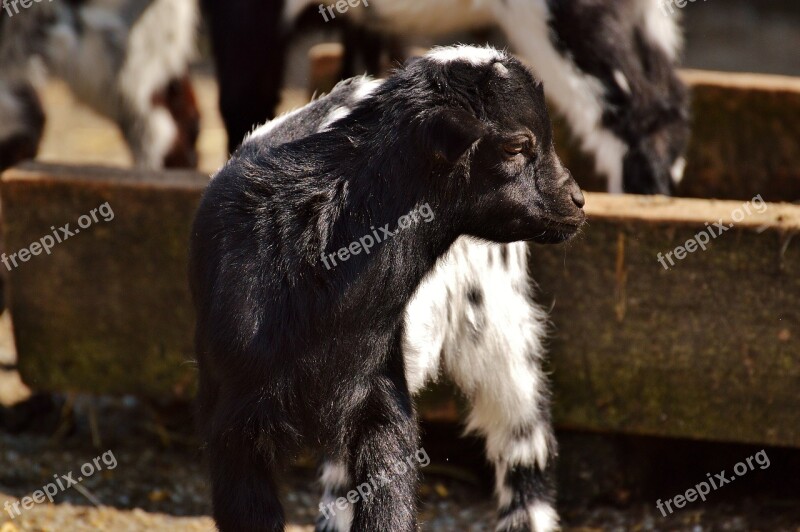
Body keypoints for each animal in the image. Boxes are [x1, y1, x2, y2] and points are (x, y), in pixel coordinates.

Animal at [191, 46, 584, 532]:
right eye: (516, 145)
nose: (578, 200)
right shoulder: (232, 427)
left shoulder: (382, 397)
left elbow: (389, 504)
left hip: (498, 322)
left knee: (522, 432)